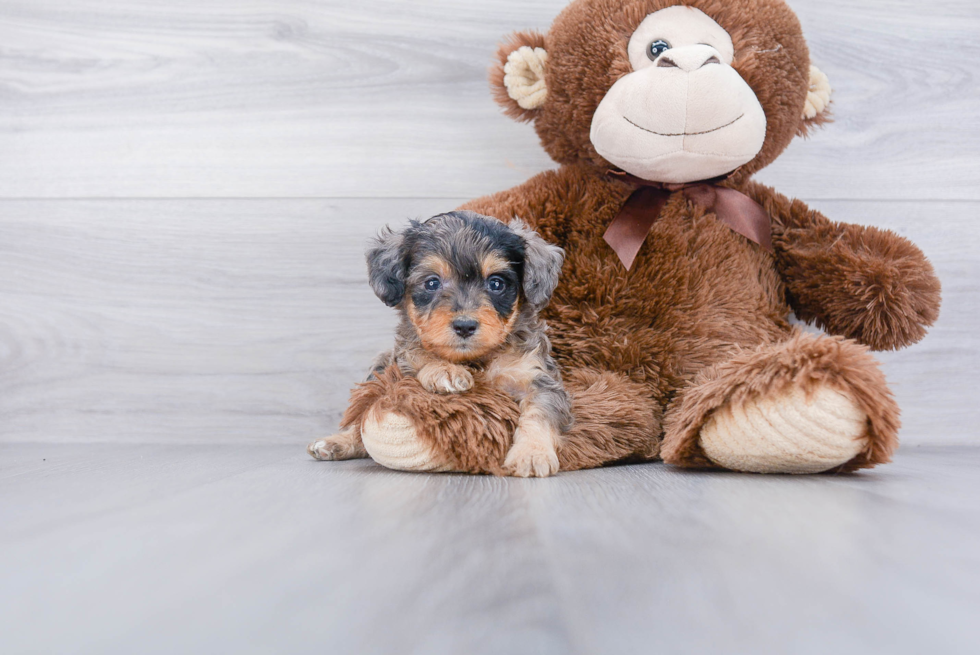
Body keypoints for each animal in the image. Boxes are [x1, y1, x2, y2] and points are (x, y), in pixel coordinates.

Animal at [310, 210, 572, 476]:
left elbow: (539, 414)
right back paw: (335, 442)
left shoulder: (537, 378)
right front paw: (446, 370)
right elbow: (421, 354)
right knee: (360, 423)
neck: (475, 360)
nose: (465, 326)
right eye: (432, 283)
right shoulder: (402, 361)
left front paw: (532, 453)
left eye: (496, 283)